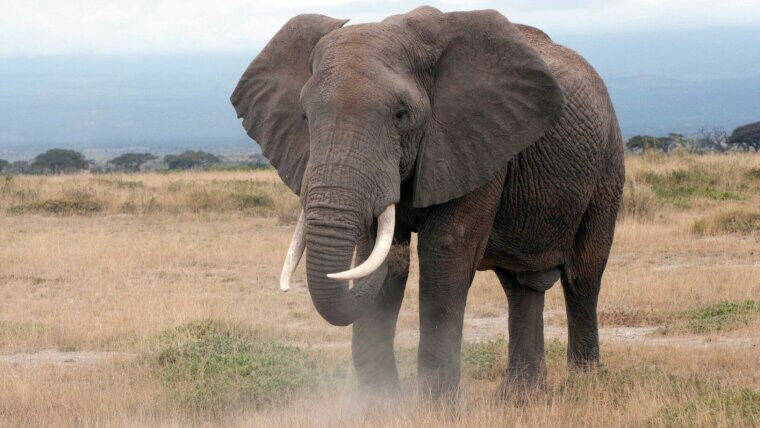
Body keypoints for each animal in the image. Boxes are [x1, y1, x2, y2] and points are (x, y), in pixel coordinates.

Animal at [231, 6, 624, 399]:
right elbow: (376, 254)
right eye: (305, 116)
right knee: (520, 285)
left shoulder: (473, 140)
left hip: (607, 164)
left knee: (583, 276)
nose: (398, 252)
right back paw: (520, 398)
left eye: (401, 115)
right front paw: (382, 404)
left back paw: (584, 385)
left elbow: (445, 253)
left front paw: (436, 405)